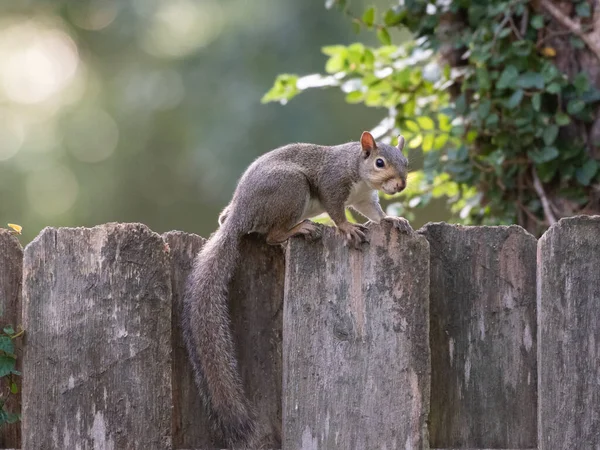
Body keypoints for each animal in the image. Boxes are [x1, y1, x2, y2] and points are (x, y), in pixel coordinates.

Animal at [180, 130, 410, 446]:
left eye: (406, 162)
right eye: (379, 162)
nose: (400, 185)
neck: (357, 171)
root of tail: (240, 213)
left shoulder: (364, 199)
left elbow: (375, 214)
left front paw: (392, 218)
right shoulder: (332, 184)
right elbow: (337, 211)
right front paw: (347, 228)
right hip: (291, 188)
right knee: (272, 235)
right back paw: (299, 228)